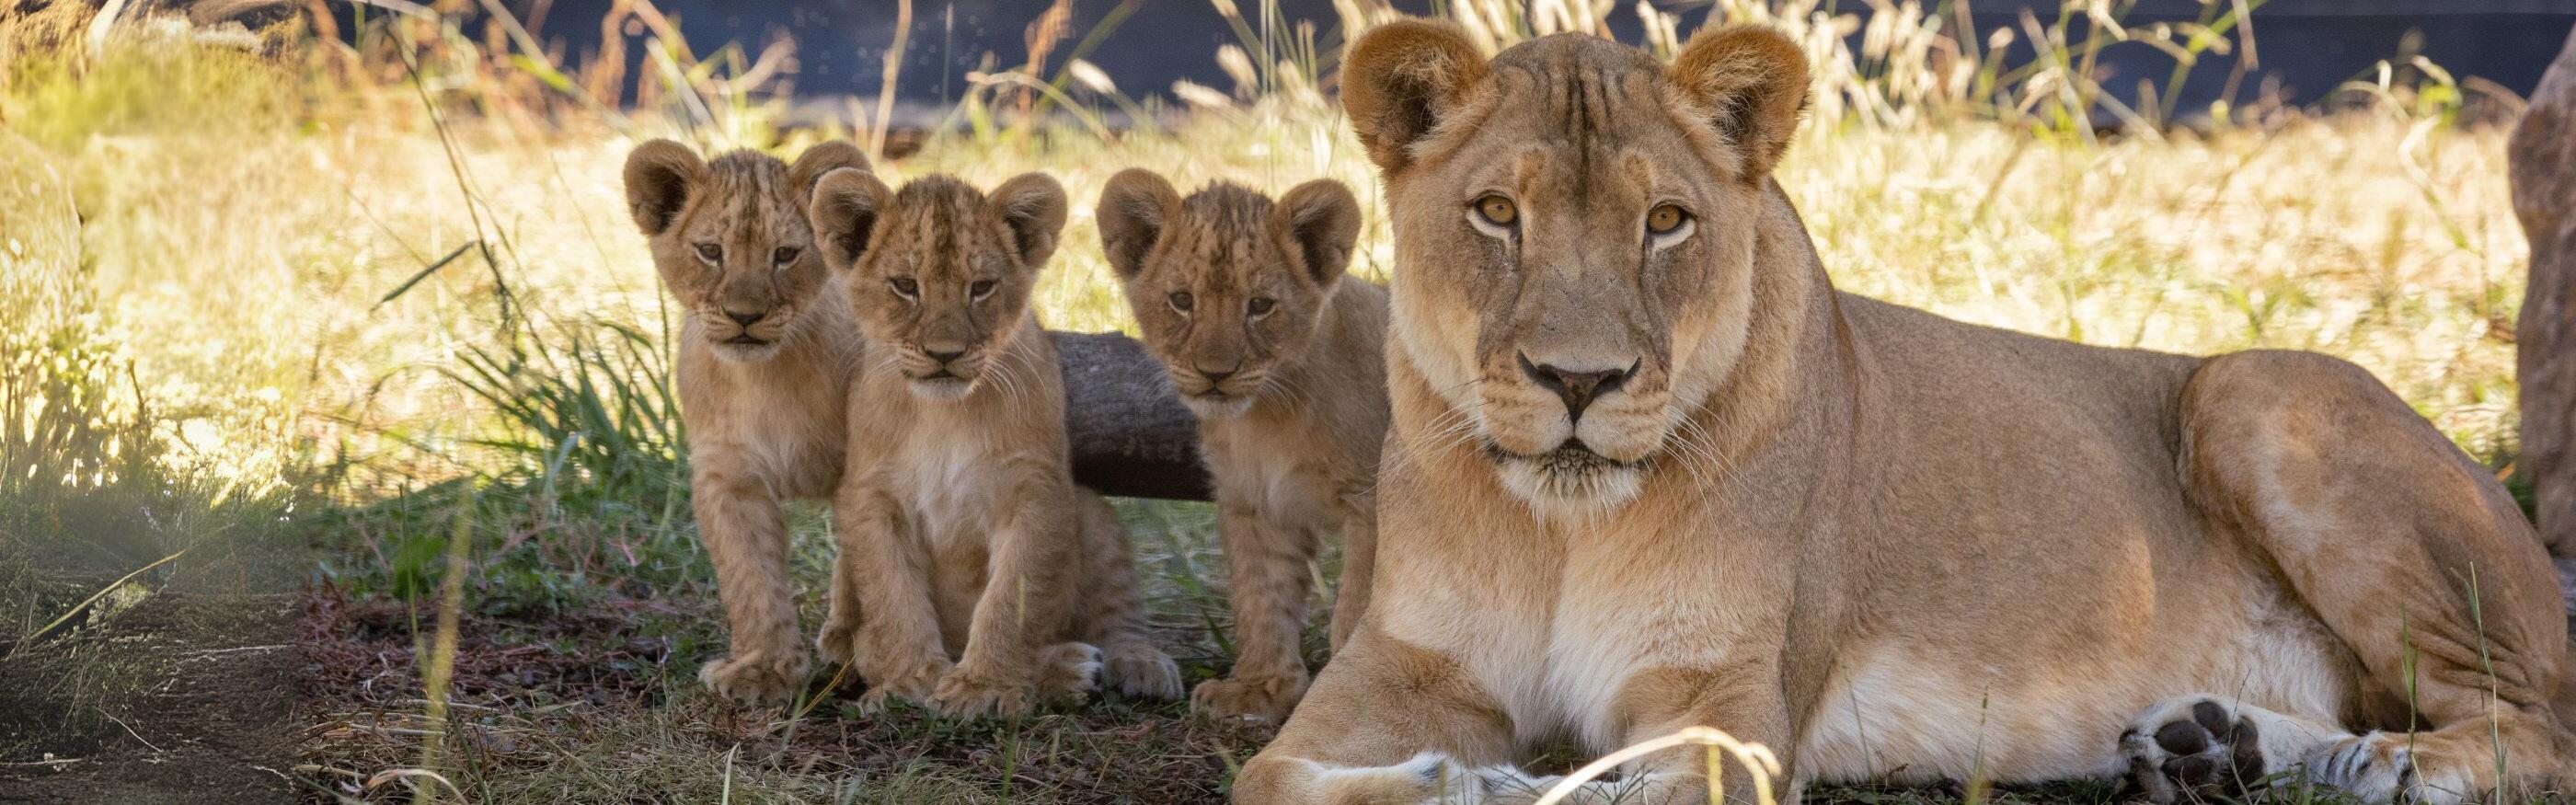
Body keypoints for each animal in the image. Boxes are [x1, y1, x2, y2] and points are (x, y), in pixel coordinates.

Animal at [622, 138, 871, 705]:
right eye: (711, 251)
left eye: (786, 254)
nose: (744, 317)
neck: (762, 379)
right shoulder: (729, 476)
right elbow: (750, 576)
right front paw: (764, 672)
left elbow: (863, 566)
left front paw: (854, 646)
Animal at [803, 168, 1185, 717]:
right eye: (905, 286)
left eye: (980, 288)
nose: (944, 354)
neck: (942, 415)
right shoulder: (870, 498)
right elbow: (892, 597)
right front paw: (910, 681)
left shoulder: (1036, 491)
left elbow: (1012, 599)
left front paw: (982, 688)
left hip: (1091, 515)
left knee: (1118, 614)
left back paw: (1118, 665)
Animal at [1095, 170, 1389, 722]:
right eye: (1182, 300)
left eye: (1260, 306)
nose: (1216, 374)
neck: (1266, 419)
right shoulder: (1256, 504)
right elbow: (1261, 598)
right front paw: (1259, 689)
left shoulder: (1374, 502)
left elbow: (1361, 605)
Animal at [1235, 22, 2576, 804]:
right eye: (1496, 213)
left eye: (1665, 221)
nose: (1580, 381)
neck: (1560, 526)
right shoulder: (1401, 665)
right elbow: (1270, 772)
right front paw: (1466, 781)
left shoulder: (1725, 699)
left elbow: (1655, 782)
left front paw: (1523, 787)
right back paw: (2210, 744)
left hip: (2254, 394)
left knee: (2539, 723)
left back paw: (2380, 762)